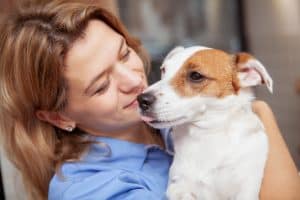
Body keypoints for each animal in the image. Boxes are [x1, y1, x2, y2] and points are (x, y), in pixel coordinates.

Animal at [137, 46, 274, 199]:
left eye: (196, 76)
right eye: (164, 70)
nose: (141, 100)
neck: (205, 136)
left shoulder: (246, 190)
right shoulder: (177, 186)